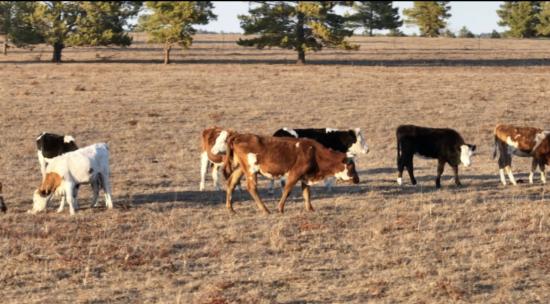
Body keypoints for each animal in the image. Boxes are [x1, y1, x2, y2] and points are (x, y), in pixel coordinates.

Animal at [222, 134, 360, 215]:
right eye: (351, 165)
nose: (357, 179)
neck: (314, 152)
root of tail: (239, 136)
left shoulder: (306, 176)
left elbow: (306, 193)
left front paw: (310, 209)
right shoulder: (295, 174)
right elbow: (287, 191)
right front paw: (280, 208)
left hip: (240, 168)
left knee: (231, 183)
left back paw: (230, 208)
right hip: (251, 170)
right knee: (252, 188)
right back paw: (265, 210)